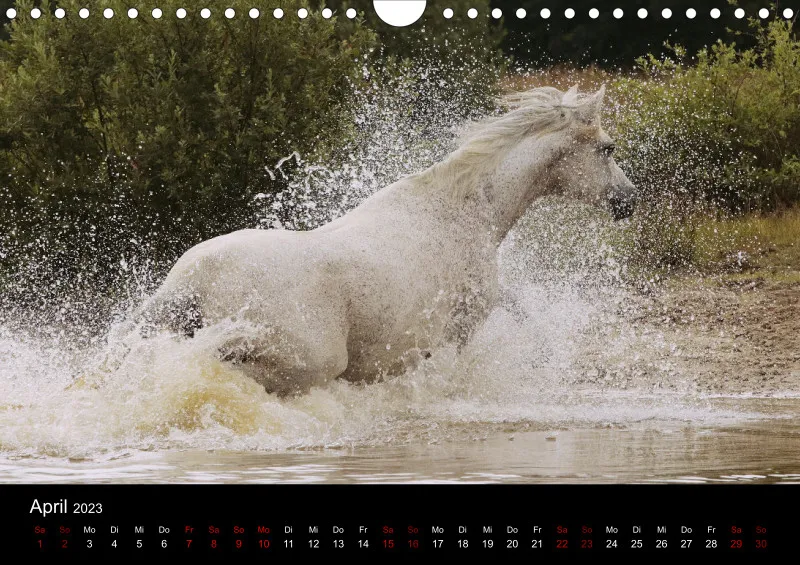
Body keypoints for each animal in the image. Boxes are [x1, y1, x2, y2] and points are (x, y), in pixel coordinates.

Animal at [126, 85, 636, 396]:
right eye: (607, 148)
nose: (629, 201)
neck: (466, 211)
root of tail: (194, 278)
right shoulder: (459, 330)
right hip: (308, 360)